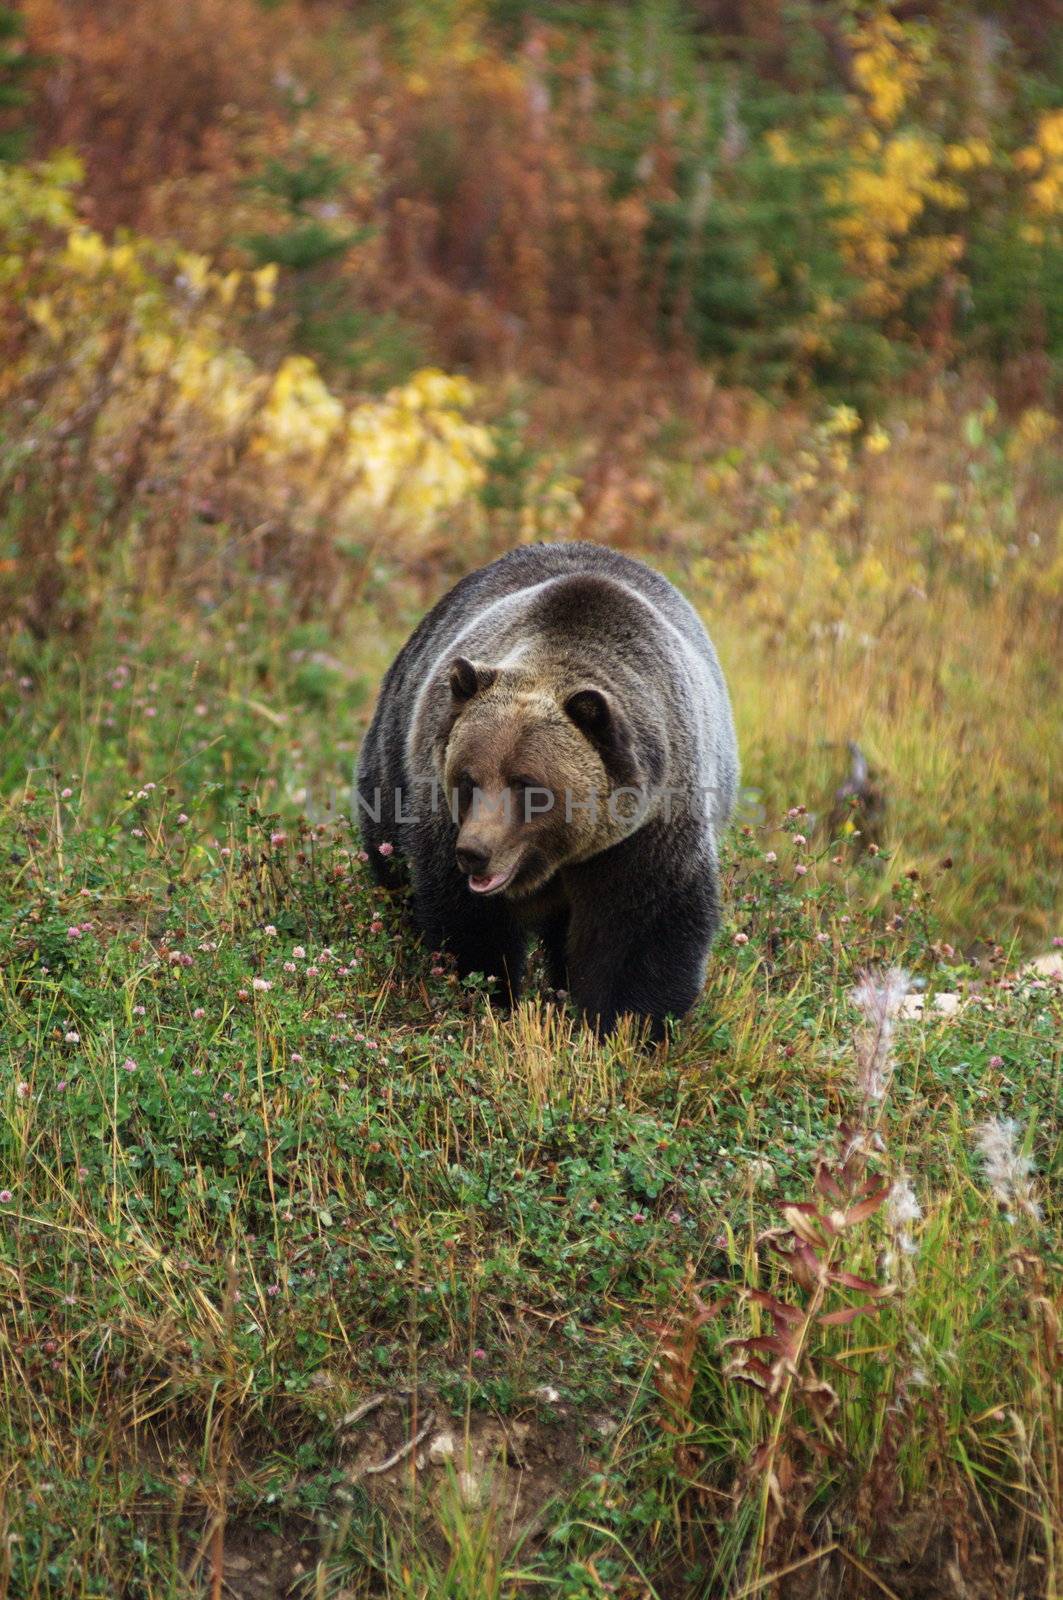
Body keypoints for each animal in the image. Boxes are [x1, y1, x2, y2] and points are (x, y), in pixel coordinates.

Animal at [357, 540, 739, 1036]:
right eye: (468, 778)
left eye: (528, 785)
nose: (474, 852)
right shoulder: (439, 812)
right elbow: (467, 920)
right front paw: (490, 997)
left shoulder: (650, 826)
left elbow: (643, 929)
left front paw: (626, 1025)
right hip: (393, 755)